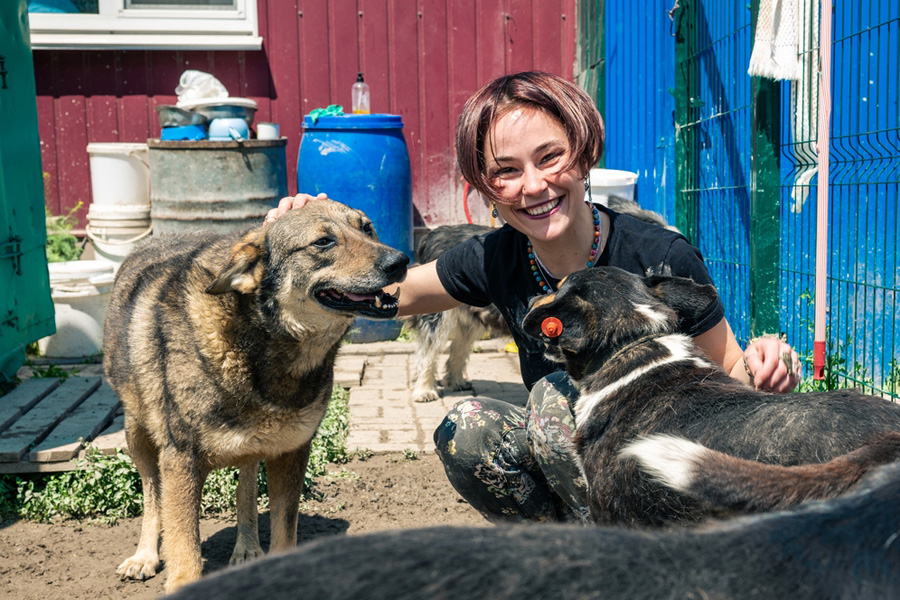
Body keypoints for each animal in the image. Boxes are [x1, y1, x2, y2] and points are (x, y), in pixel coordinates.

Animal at [103, 198, 408, 592]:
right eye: (323, 242)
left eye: (367, 228)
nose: (400, 261)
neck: (258, 344)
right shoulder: (180, 460)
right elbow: (184, 549)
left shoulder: (291, 451)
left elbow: (283, 530)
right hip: (137, 434)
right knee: (152, 494)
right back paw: (144, 556)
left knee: (245, 483)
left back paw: (247, 546)